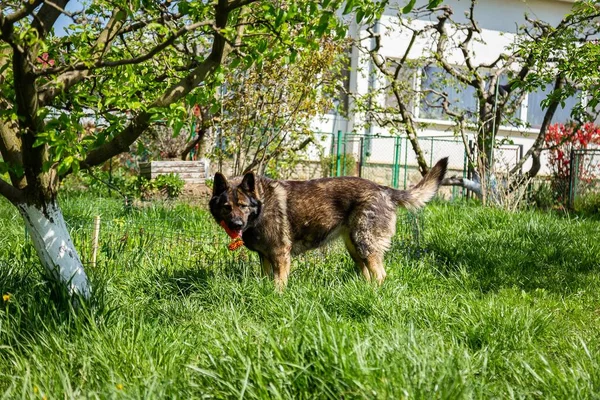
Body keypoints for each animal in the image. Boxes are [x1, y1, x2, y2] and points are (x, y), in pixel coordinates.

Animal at [209, 157, 448, 290]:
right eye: (227, 207)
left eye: (243, 205)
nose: (236, 224)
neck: (261, 206)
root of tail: (384, 189)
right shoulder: (265, 257)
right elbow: (267, 279)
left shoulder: (279, 255)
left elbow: (279, 283)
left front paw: (277, 296)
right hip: (355, 248)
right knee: (368, 273)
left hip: (365, 243)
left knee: (380, 275)